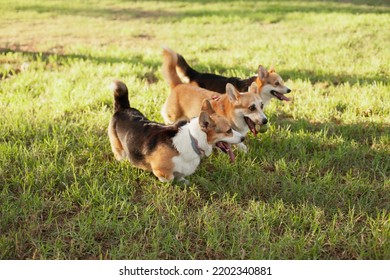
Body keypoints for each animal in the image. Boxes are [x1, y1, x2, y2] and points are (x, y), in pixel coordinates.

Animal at [107, 80, 244, 184]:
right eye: (228, 130)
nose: (243, 138)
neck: (193, 140)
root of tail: (123, 108)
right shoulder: (160, 169)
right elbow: (169, 177)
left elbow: (180, 175)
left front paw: (183, 181)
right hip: (119, 150)